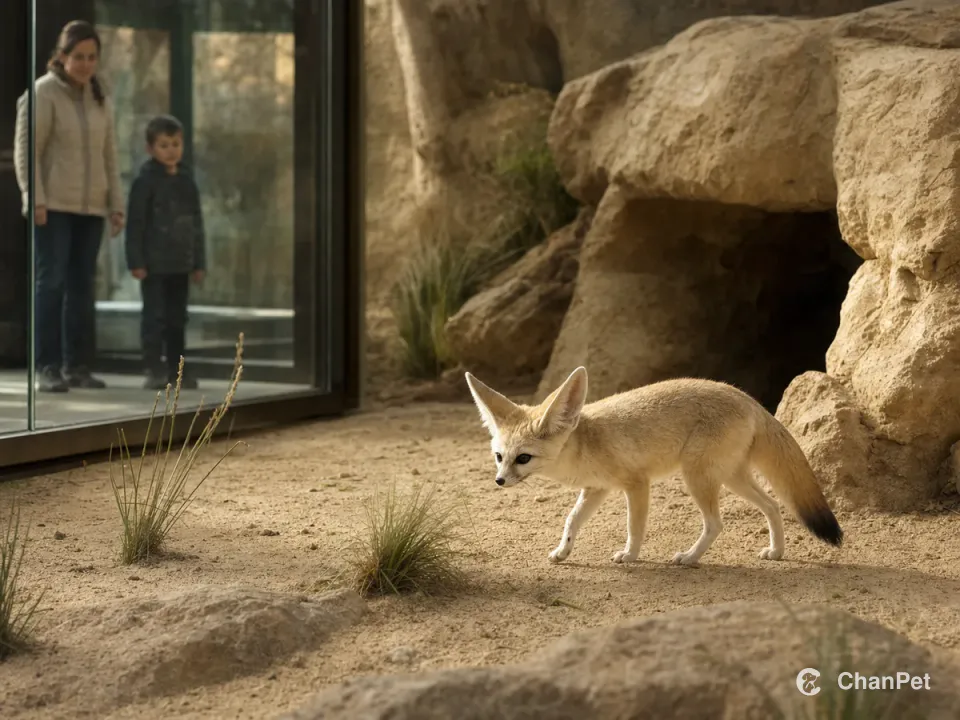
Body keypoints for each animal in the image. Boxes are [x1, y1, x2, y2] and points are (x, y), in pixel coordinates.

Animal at [464, 366, 843, 567]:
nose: (499, 481)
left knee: (716, 523)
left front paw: (630, 555)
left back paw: (689, 557)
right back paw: (776, 551)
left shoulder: (636, 484)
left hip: (697, 478)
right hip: (731, 478)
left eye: (523, 458)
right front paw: (562, 551)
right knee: (774, 505)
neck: (586, 442)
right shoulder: (596, 489)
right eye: (499, 457)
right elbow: (571, 520)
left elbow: (634, 527)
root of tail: (748, 398)